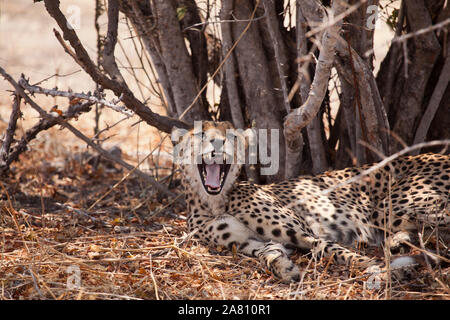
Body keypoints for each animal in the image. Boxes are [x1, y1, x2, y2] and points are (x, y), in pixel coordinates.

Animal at [171, 121, 446, 282]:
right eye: (201, 134)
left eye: (230, 136)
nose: (218, 143)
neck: (215, 201)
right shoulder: (247, 242)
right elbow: (267, 253)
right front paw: (283, 267)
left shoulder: (306, 233)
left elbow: (332, 249)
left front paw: (377, 268)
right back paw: (398, 243)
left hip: (394, 208)